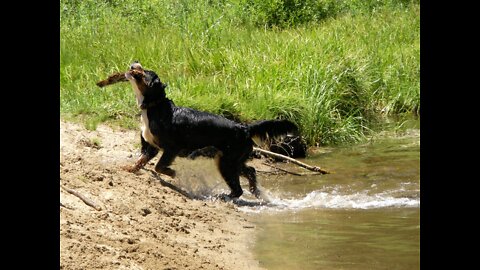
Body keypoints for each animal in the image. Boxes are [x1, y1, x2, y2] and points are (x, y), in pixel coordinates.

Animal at [98, 62, 296, 198]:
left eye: (143, 72)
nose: (133, 64)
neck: (155, 106)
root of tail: (244, 127)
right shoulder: (151, 146)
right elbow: (141, 160)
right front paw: (129, 168)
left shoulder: (171, 148)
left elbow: (159, 166)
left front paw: (172, 173)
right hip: (233, 160)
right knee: (251, 171)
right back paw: (254, 191)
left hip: (226, 162)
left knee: (238, 189)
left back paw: (225, 197)